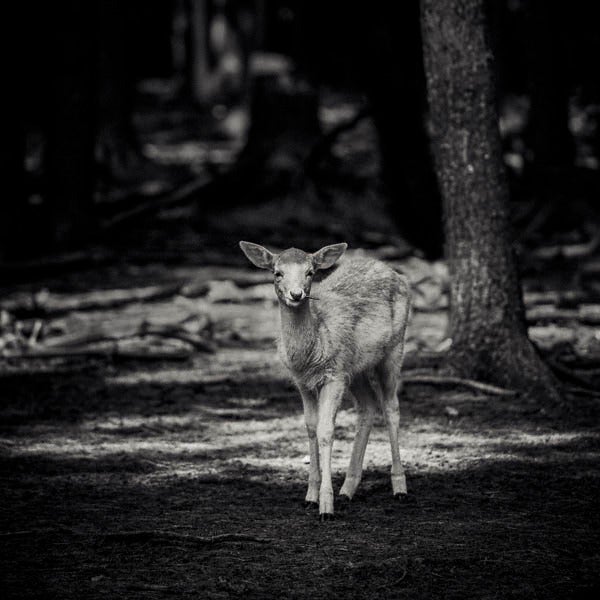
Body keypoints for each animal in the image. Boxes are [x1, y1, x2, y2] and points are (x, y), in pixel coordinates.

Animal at [239, 241, 412, 516]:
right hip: (356, 369)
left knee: (391, 408)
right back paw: (348, 489)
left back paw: (399, 487)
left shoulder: (335, 375)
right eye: (277, 273)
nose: (296, 294)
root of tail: (395, 272)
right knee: (368, 406)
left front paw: (326, 506)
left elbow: (326, 430)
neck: (310, 355)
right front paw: (310, 496)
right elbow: (310, 428)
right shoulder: (302, 382)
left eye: (310, 272)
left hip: (395, 348)